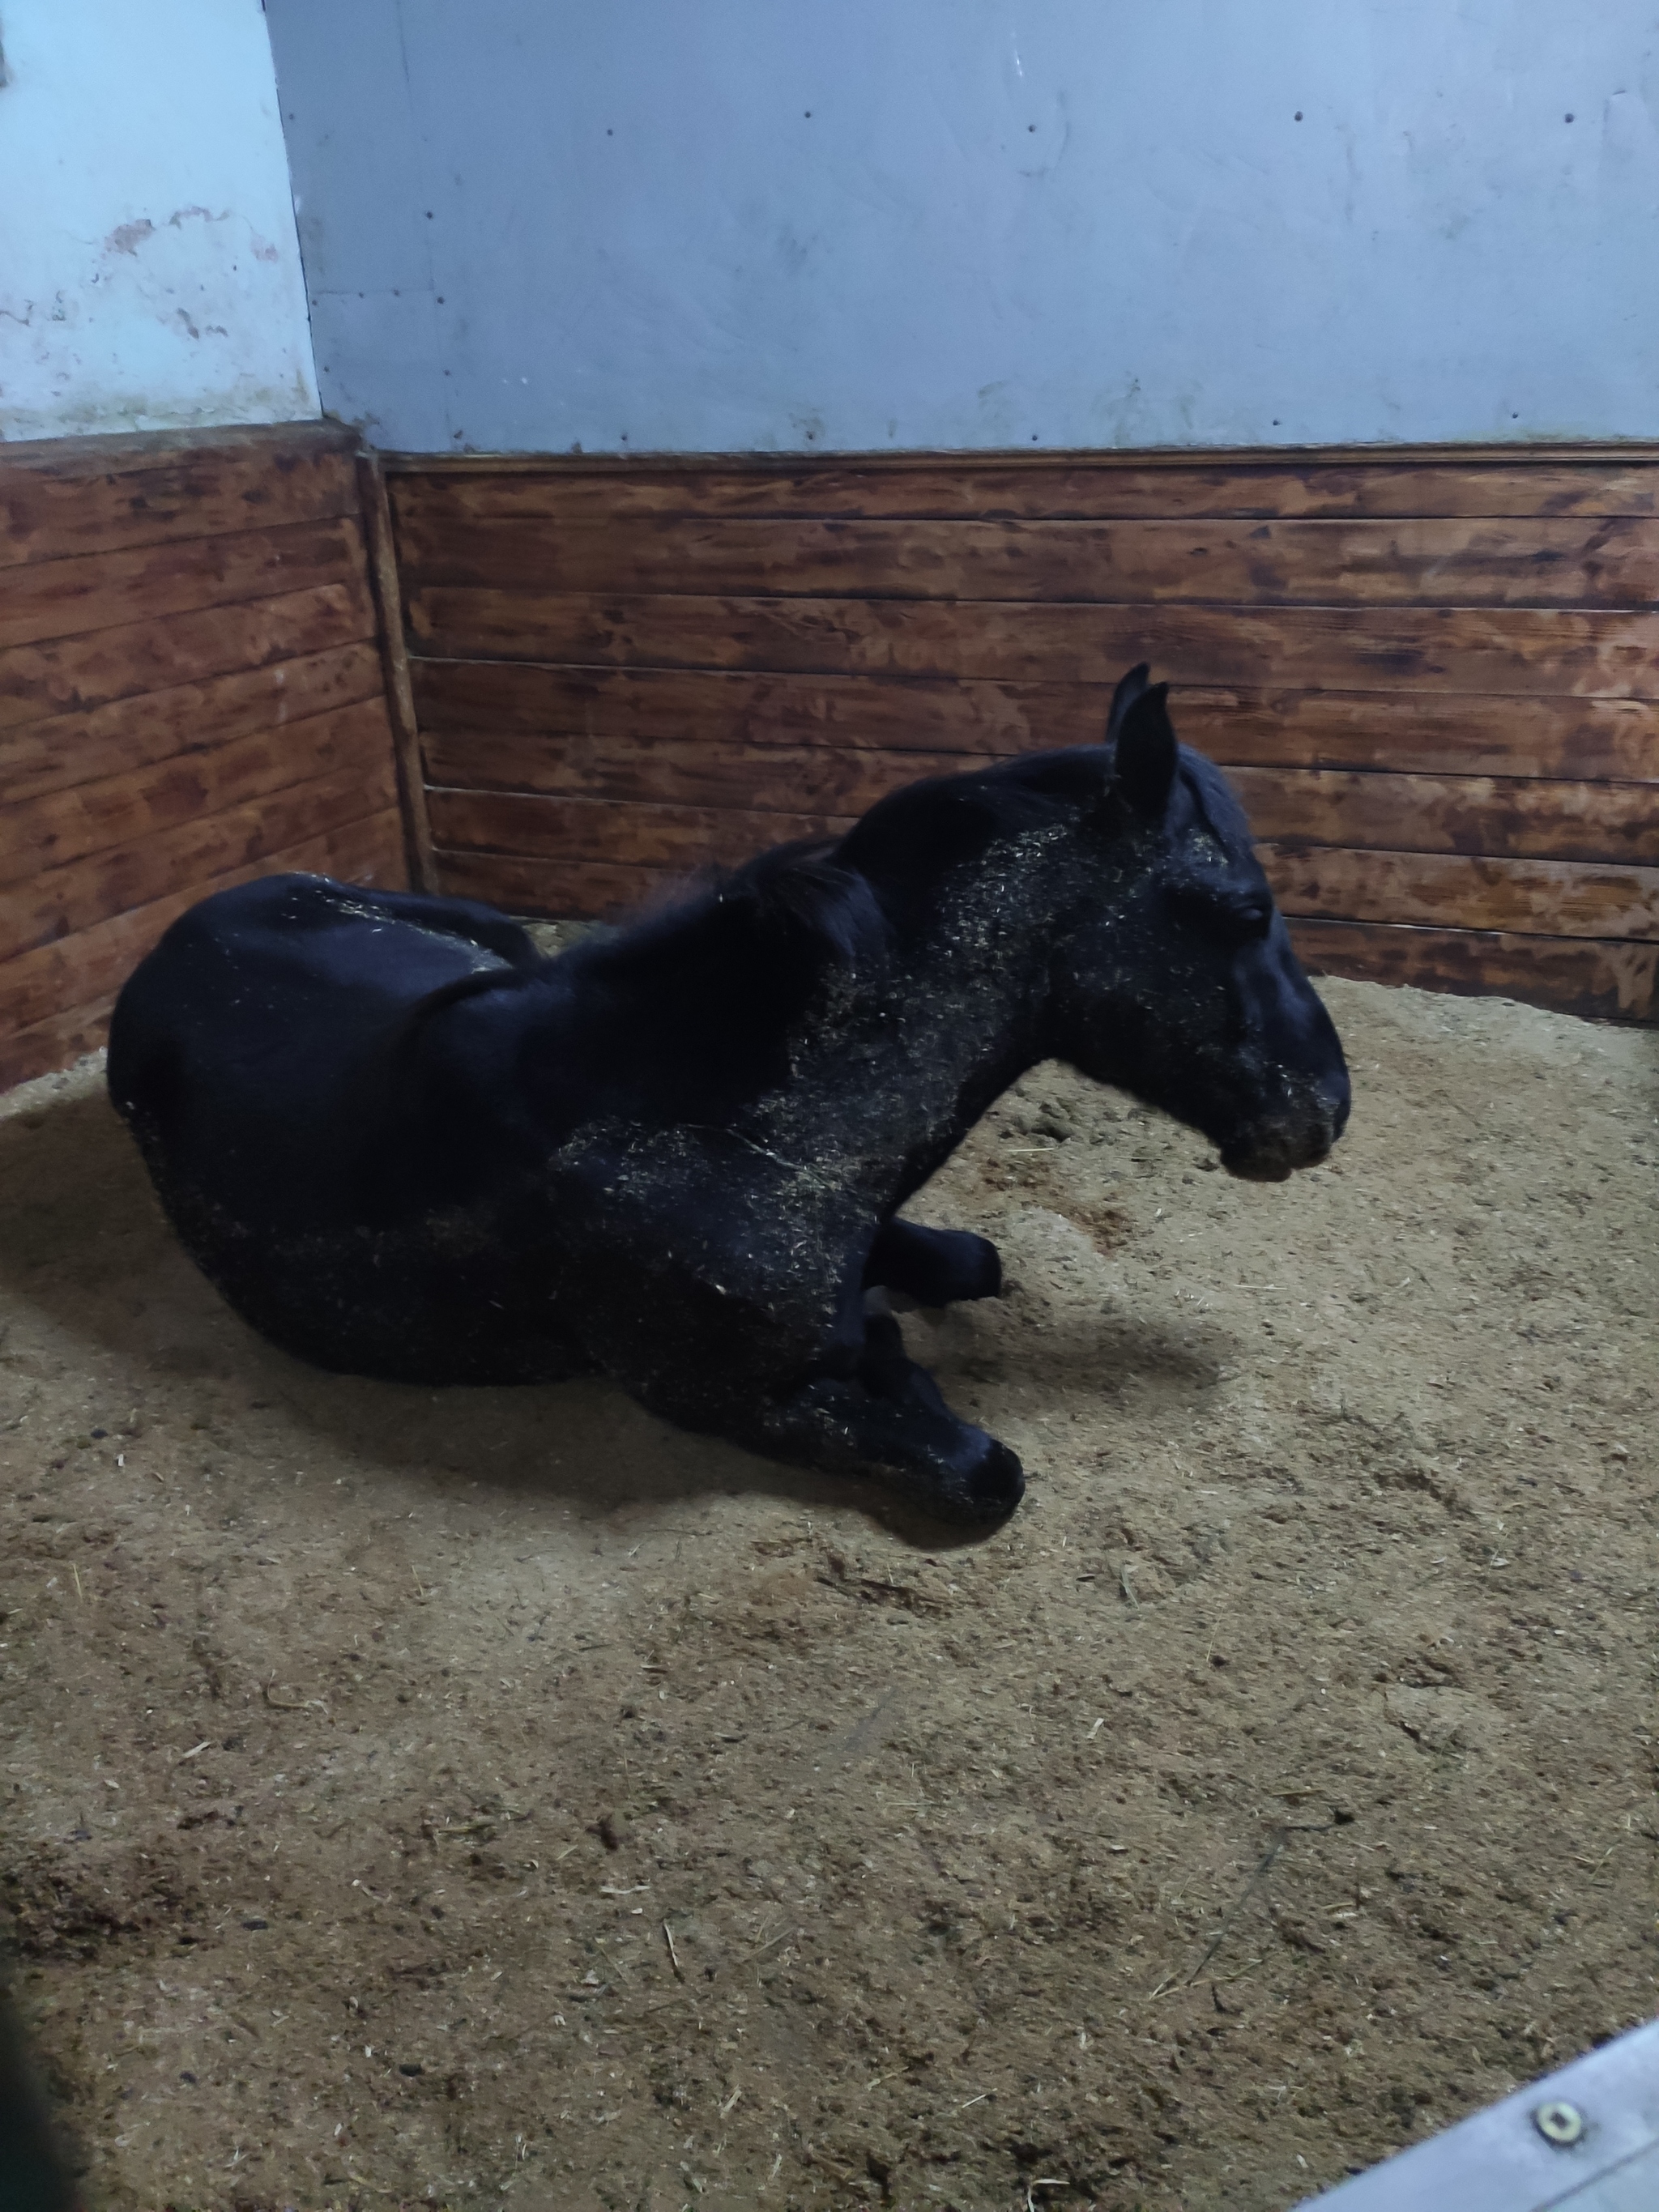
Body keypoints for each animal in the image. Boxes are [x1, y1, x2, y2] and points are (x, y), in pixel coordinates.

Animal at [107, 666, 1350, 1526]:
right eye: (1244, 909)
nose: (1325, 1109)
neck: (709, 1116)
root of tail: (188, 927)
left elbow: (966, 1261)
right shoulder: (736, 1398)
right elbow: (981, 1469)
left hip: (495, 936)